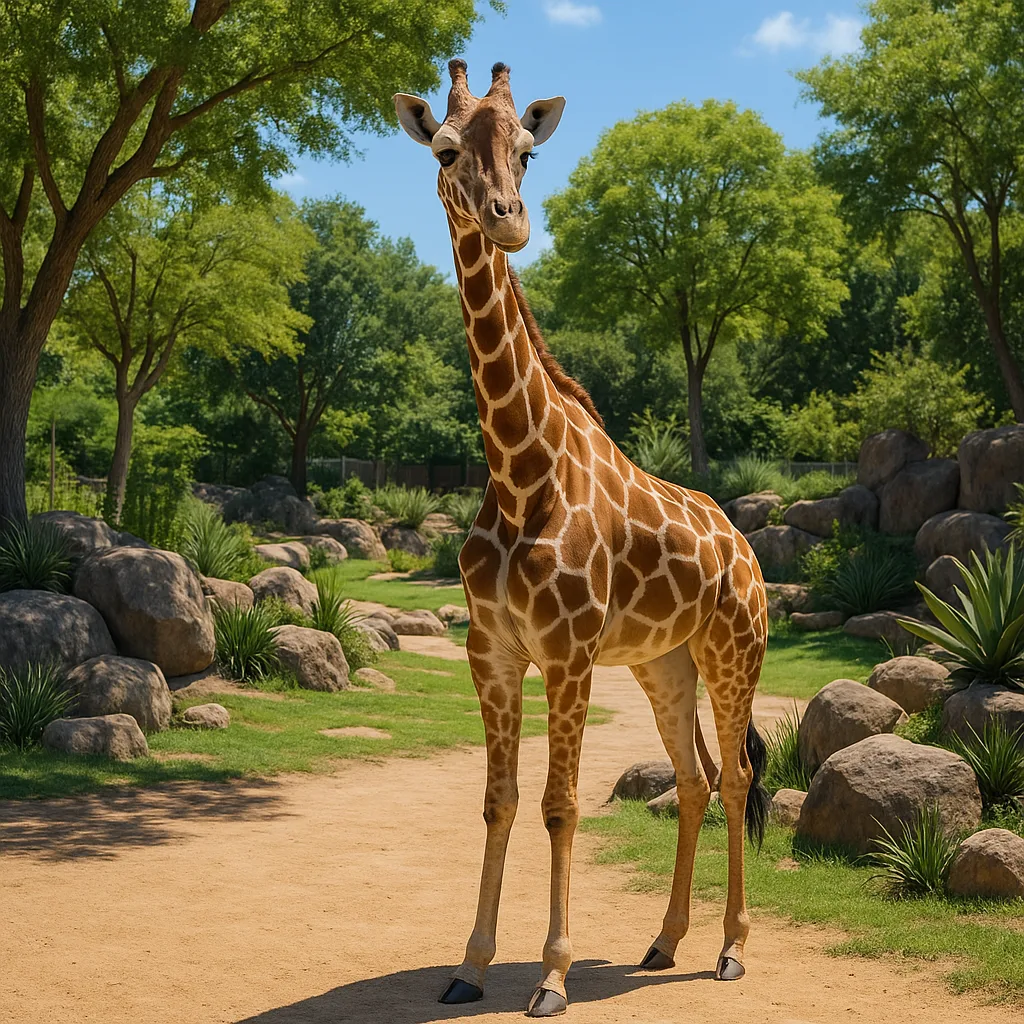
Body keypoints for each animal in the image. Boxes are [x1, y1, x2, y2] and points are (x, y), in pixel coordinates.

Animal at [394, 60, 770, 1018]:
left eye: (528, 150)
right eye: (445, 150)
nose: (508, 219)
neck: (520, 474)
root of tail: (746, 547)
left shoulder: (565, 653)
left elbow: (560, 805)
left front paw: (553, 975)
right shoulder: (493, 653)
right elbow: (499, 801)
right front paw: (470, 966)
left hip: (733, 650)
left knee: (740, 777)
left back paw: (730, 949)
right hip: (662, 663)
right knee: (695, 779)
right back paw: (663, 941)